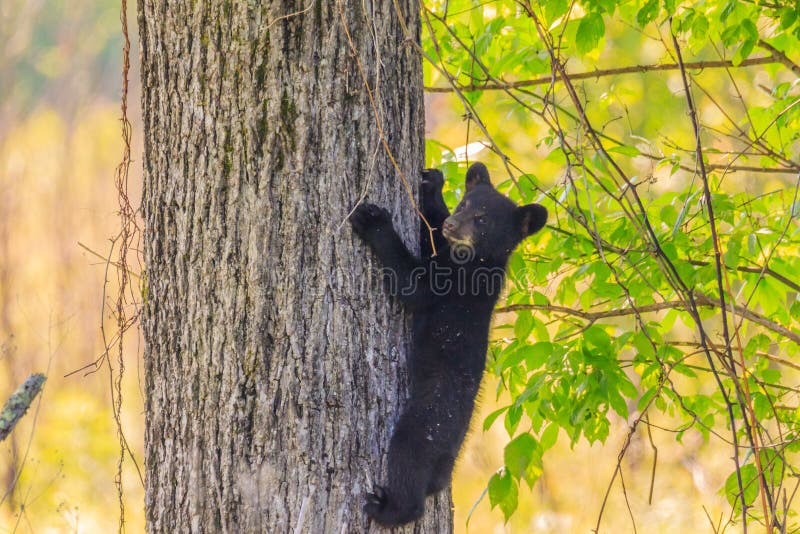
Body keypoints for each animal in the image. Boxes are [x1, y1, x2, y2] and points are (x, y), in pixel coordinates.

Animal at [349, 162, 548, 527]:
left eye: (482, 219)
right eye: (464, 205)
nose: (454, 224)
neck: (480, 259)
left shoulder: (455, 279)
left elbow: (413, 284)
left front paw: (373, 219)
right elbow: (431, 234)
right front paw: (432, 185)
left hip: (425, 423)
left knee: (408, 461)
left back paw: (385, 508)